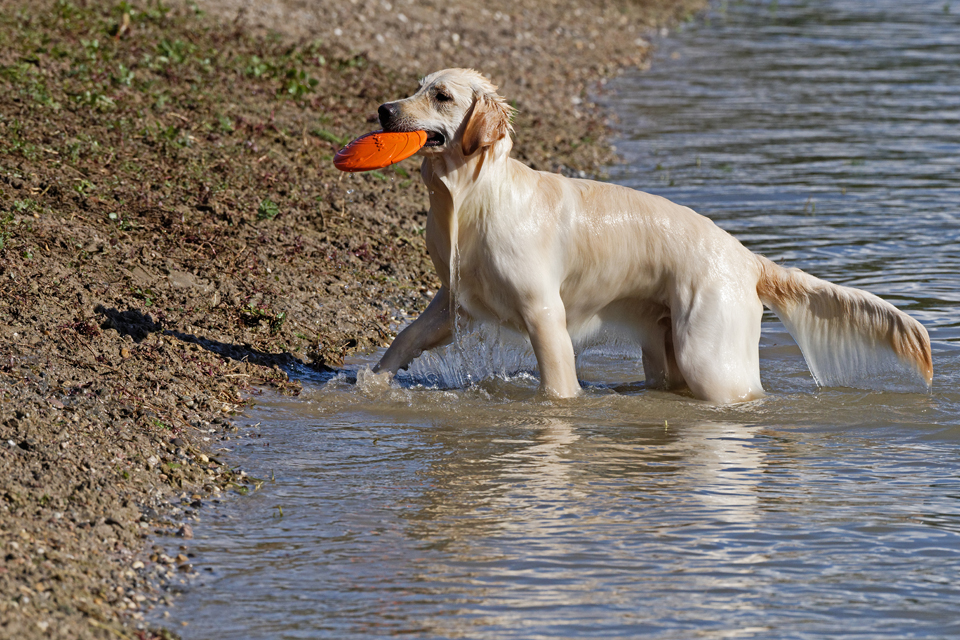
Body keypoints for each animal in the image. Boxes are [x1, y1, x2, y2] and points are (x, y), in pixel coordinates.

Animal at [370, 67, 928, 402]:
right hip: (665, 349)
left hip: (710, 356)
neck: (476, 195)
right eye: (417, 87)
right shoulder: (455, 301)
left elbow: (558, 385)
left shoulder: (543, 312)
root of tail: (748, 259)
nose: (383, 110)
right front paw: (373, 381)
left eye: (441, 96)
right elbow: (408, 335)